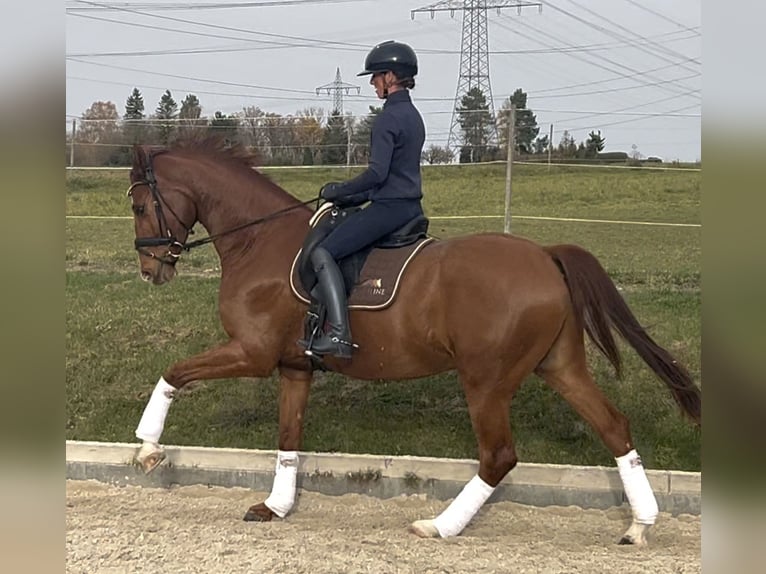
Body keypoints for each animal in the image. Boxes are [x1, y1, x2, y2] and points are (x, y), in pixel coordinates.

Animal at [127, 136, 701, 545]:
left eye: (138, 205)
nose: (150, 270)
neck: (258, 239)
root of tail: (544, 255)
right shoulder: (293, 366)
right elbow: (288, 437)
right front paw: (275, 507)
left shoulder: (253, 352)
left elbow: (174, 372)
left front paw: (148, 449)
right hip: (559, 367)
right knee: (614, 427)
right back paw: (639, 526)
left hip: (486, 380)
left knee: (499, 456)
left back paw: (439, 526)